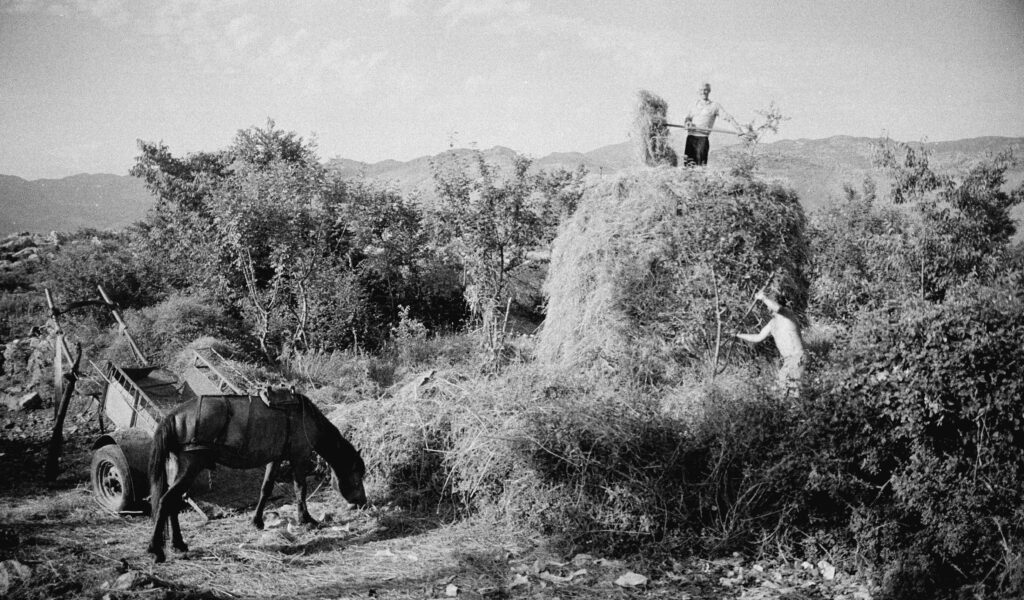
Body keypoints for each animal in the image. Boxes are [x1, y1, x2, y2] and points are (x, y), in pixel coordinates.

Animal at [146, 387, 366, 561]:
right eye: (357, 476)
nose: (362, 502)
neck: (305, 416)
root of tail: (174, 415)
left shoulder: (275, 458)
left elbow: (266, 488)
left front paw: (257, 521)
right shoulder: (299, 457)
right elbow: (300, 489)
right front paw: (306, 519)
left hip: (179, 470)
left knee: (173, 503)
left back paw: (178, 544)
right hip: (191, 467)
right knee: (166, 501)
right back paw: (156, 549)